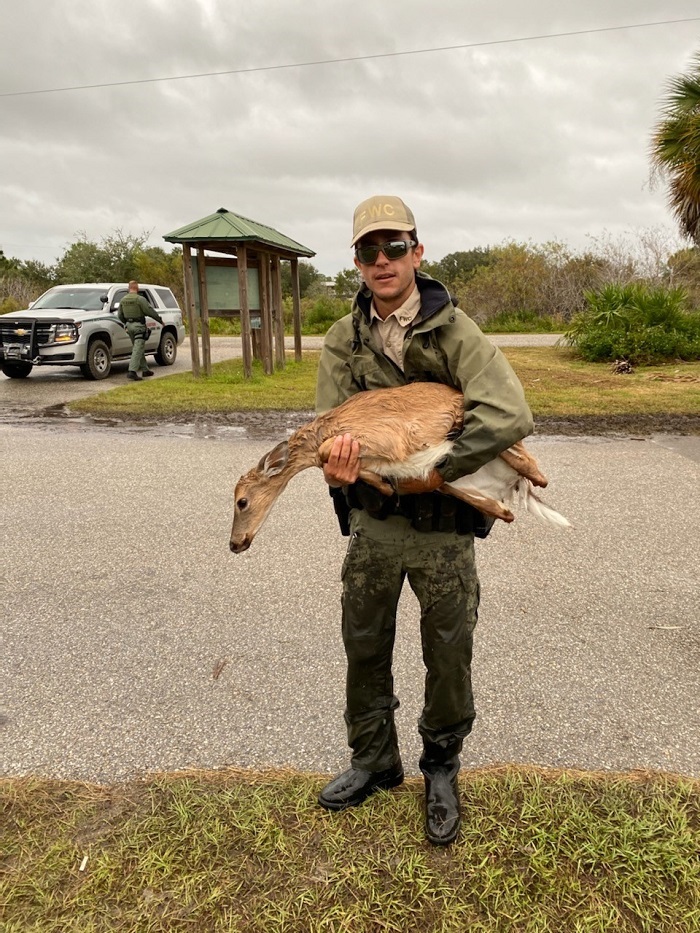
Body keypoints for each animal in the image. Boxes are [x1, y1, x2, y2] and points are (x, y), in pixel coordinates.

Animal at [229, 382, 570, 553]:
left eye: (241, 501)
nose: (235, 544)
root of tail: (513, 485)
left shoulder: (388, 437)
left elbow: (329, 453)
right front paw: (386, 484)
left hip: (499, 441)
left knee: (537, 472)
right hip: (466, 488)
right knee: (508, 510)